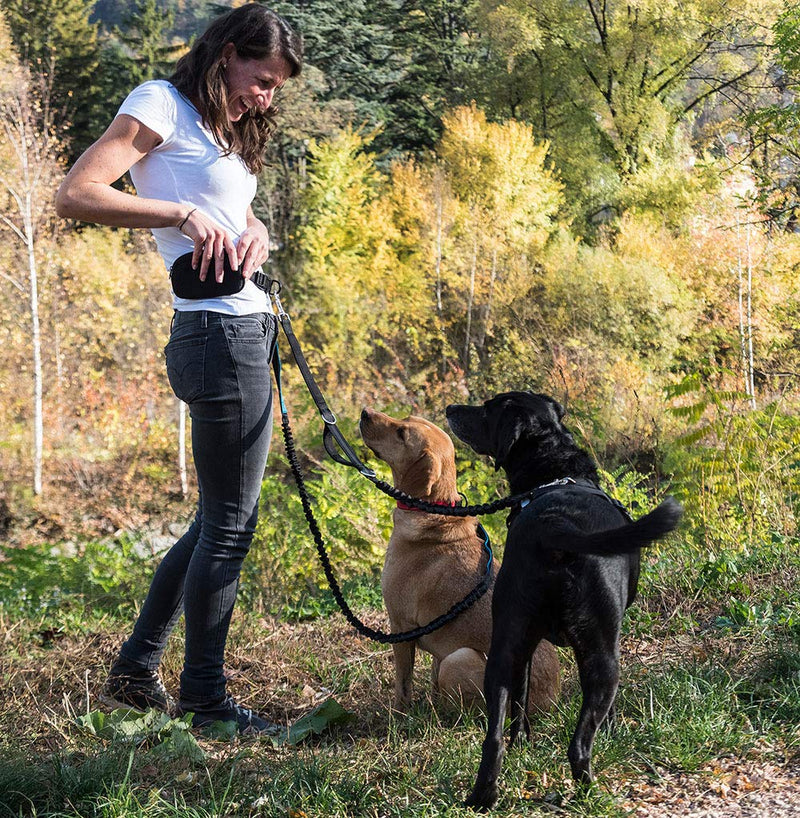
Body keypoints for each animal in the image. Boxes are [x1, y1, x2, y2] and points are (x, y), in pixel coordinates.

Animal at [360, 412, 560, 712]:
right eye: (406, 418)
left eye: (402, 433)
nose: (364, 413)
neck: (434, 509)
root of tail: (547, 703)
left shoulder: (400, 627)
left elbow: (403, 684)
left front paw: (399, 714)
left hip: (459, 659)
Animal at [444, 392, 680, 808]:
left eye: (487, 408)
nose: (450, 409)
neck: (554, 473)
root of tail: (555, 526)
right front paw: (612, 732)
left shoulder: (524, 648)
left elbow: (519, 702)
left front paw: (523, 742)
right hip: (604, 659)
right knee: (579, 745)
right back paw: (590, 793)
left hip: (503, 649)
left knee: (493, 739)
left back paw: (483, 796)